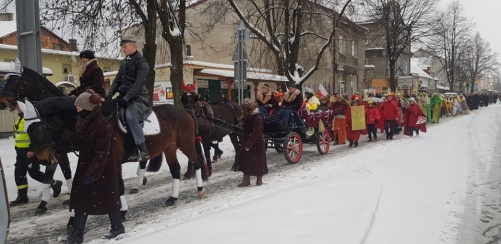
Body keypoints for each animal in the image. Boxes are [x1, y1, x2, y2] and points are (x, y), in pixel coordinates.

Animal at [0, 67, 207, 210]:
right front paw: (47, 201)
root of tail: (185, 111)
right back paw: (172, 197)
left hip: (185, 144)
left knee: (196, 162)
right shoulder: (60, 151)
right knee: (175, 169)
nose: (3, 101)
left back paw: (200, 189)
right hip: (169, 147)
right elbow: (53, 175)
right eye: (27, 129)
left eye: (13, 80)